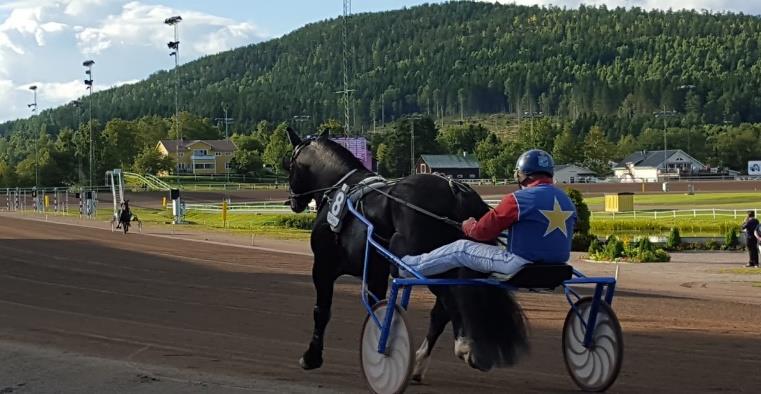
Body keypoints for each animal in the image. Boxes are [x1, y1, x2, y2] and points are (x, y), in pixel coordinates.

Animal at [284, 127, 528, 380]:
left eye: (289, 164)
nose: (293, 202)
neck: (342, 188)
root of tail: (456, 191)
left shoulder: (324, 265)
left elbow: (321, 311)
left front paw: (311, 356)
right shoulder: (375, 272)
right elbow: (379, 309)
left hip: (424, 263)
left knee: (450, 298)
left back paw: (464, 344)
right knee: (442, 310)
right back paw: (420, 363)